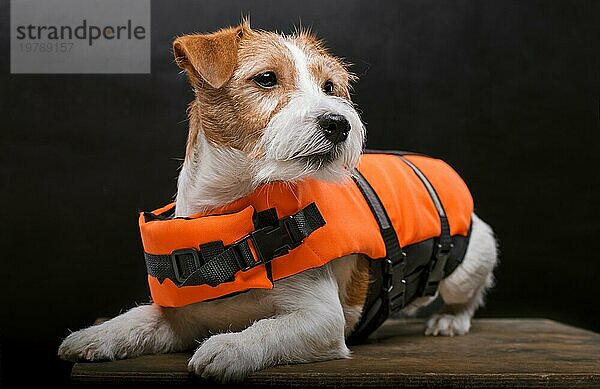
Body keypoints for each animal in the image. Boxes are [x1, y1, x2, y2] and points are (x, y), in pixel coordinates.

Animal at [57, 20, 496, 382]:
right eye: (266, 79)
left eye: (329, 87)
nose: (339, 123)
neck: (230, 212)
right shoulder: (181, 316)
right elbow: (138, 319)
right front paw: (95, 334)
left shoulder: (320, 320)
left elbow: (269, 328)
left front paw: (230, 346)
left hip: (473, 260)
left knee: (466, 296)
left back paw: (449, 321)